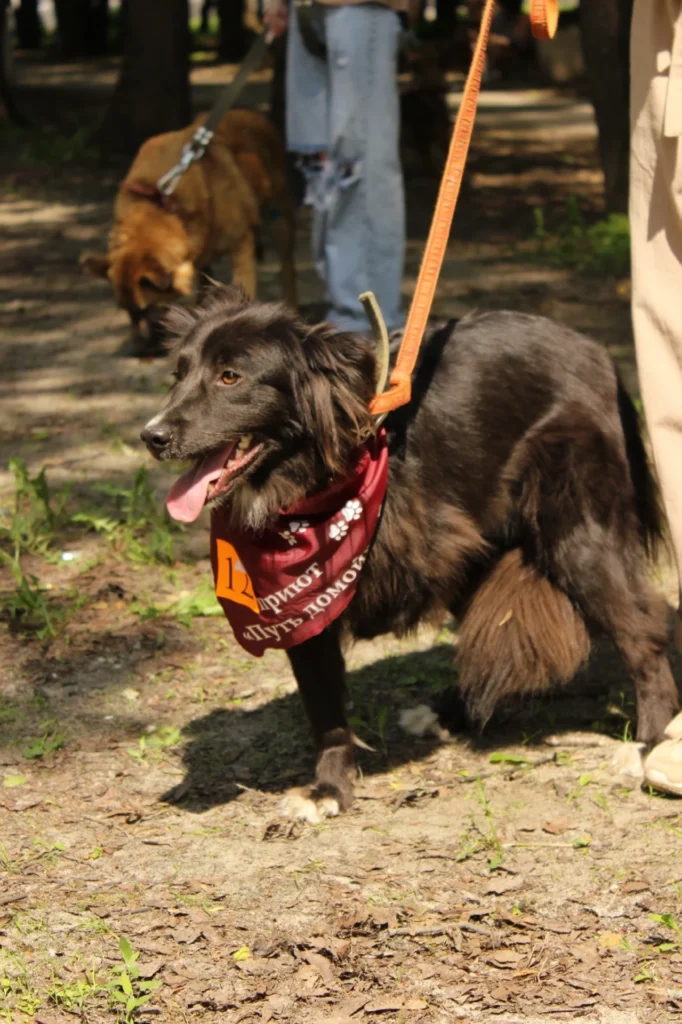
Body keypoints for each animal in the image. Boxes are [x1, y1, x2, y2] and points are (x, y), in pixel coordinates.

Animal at [79, 107, 294, 348]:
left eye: (148, 308)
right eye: (127, 311)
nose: (138, 349)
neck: (161, 204)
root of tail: (248, 112)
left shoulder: (242, 246)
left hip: (281, 224)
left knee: (288, 270)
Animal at [140, 288, 675, 823]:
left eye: (230, 376)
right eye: (178, 374)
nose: (152, 436)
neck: (318, 478)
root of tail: (593, 352)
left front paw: (329, 788)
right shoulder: (306, 612)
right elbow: (323, 706)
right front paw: (330, 788)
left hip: (577, 534)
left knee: (642, 630)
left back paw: (651, 742)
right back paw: (450, 711)